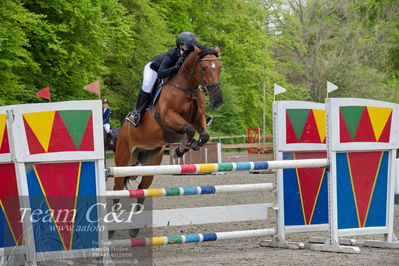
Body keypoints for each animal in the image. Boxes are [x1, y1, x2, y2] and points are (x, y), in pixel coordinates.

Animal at [111, 44, 225, 236]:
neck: (187, 88)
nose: (218, 100)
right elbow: (189, 129)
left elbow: (203, 134)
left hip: (150, 162)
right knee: (116, 190)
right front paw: (181, 149)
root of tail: (122, 129)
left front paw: (187, 147)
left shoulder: (199, 118)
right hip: (123, 160)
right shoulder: (168, 117)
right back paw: (111, 228)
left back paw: (134, 230)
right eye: (203, 68)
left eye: (219, 67)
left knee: (142, 189)